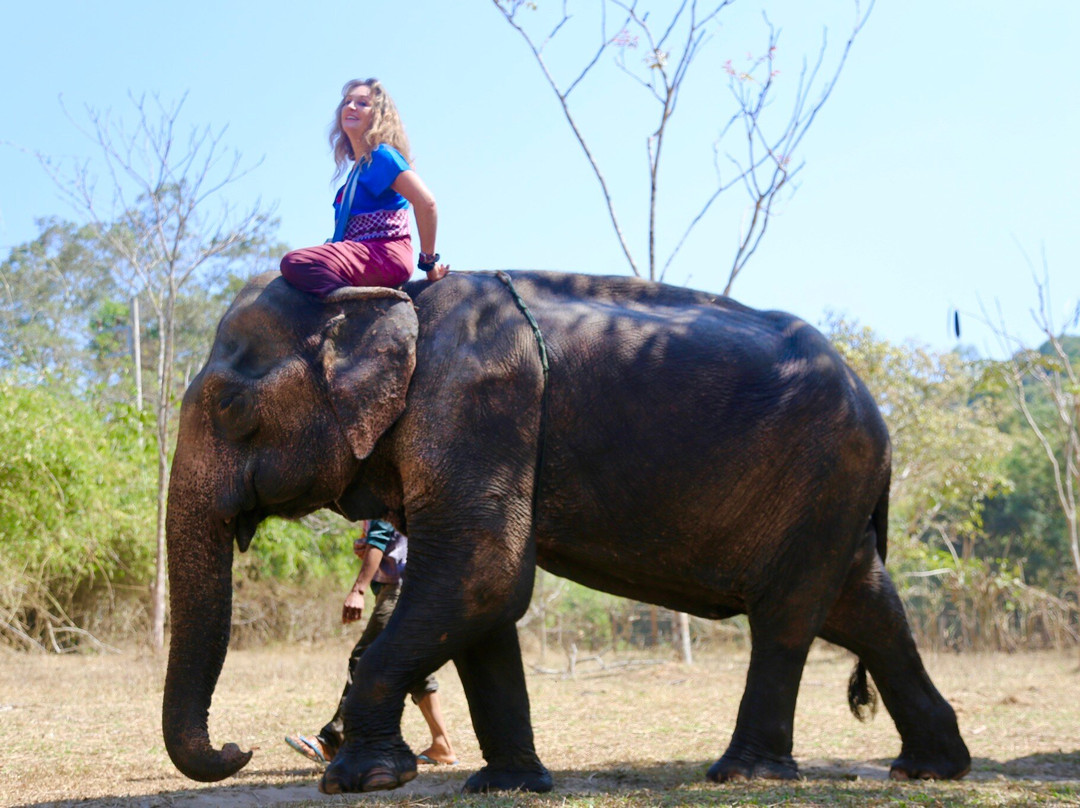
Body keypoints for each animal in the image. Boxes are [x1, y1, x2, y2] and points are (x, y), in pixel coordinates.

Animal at [162, 269, 971, 793]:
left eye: (233, 410)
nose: (239, 745)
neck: (396, 300)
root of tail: (877, 412)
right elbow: (480, 598)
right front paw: (509, 786)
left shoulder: (479, 404)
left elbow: (482, 575)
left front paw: (363, 780)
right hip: (832, 494)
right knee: (864, 606)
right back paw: (931, 769)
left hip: (824, 475)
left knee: (789, 616)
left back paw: (744, 774)